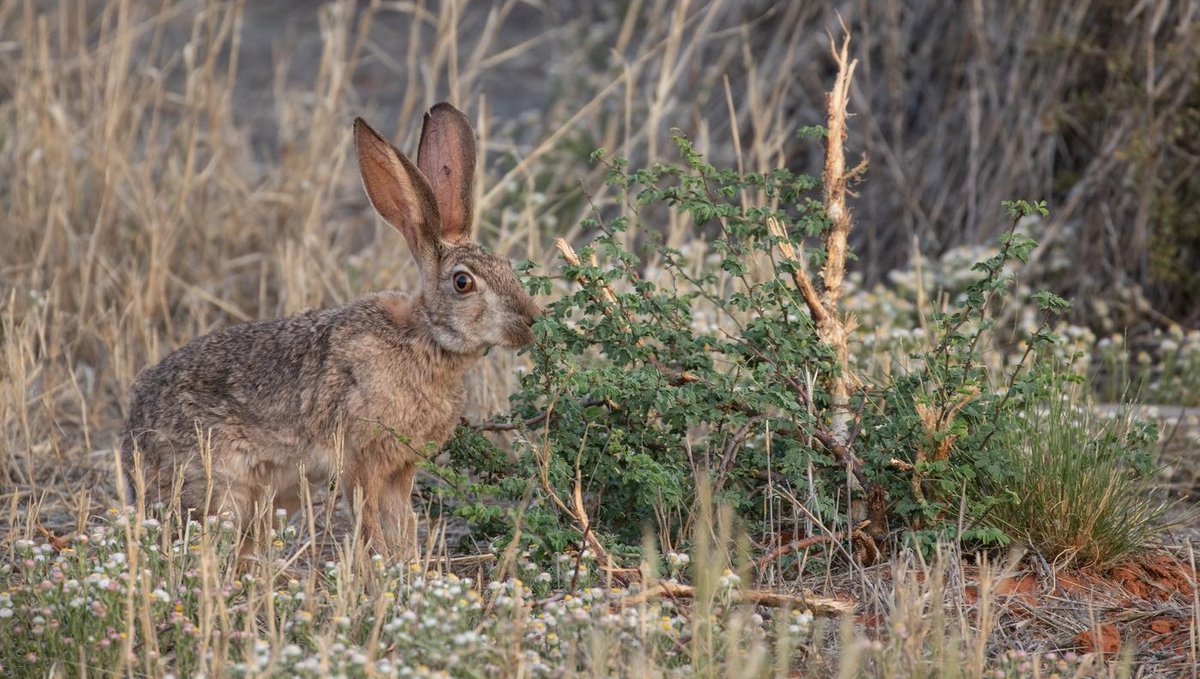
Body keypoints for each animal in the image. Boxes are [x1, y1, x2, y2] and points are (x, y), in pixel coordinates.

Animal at [120, 103, 540, 560]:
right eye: (463, 282)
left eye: (506, 265)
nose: (531, 319)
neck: (424, 339)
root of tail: (132, 455)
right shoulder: (361, 458)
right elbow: (369, 521)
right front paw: (380, 567)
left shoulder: (401, 468)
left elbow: (403, 522)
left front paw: (409, 565)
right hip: (222, 488)